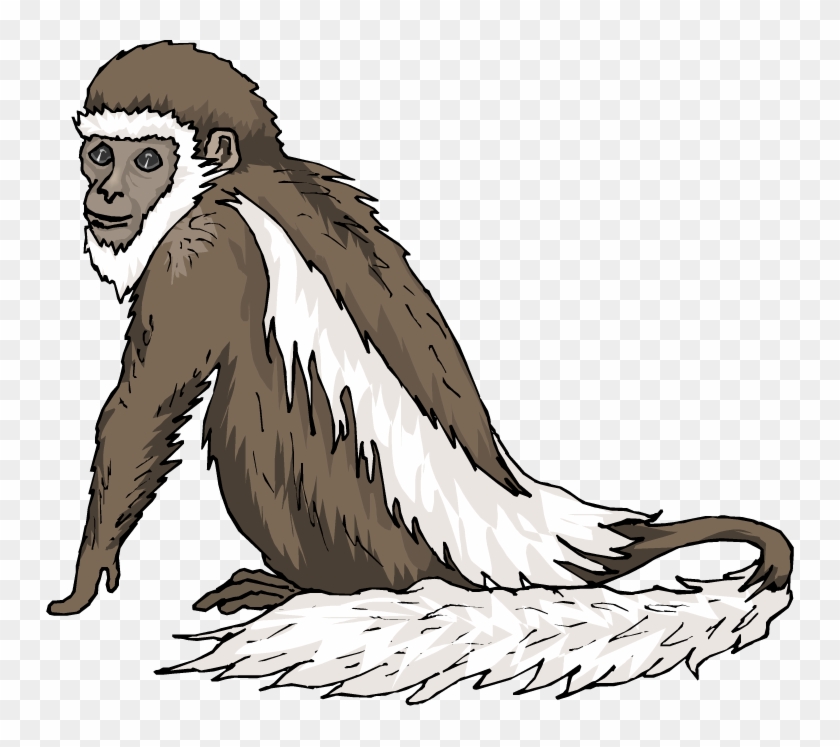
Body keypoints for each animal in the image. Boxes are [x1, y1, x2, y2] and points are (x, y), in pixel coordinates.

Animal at [48, 42, 793, 700]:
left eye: (148, 159)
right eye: (99, 154)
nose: (106, 191)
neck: (230, 181)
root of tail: (536, 530)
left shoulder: (201, 252)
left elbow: (148, 405)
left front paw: (86, 574)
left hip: (355, 529)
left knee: (244, 412)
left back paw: (289, 586)